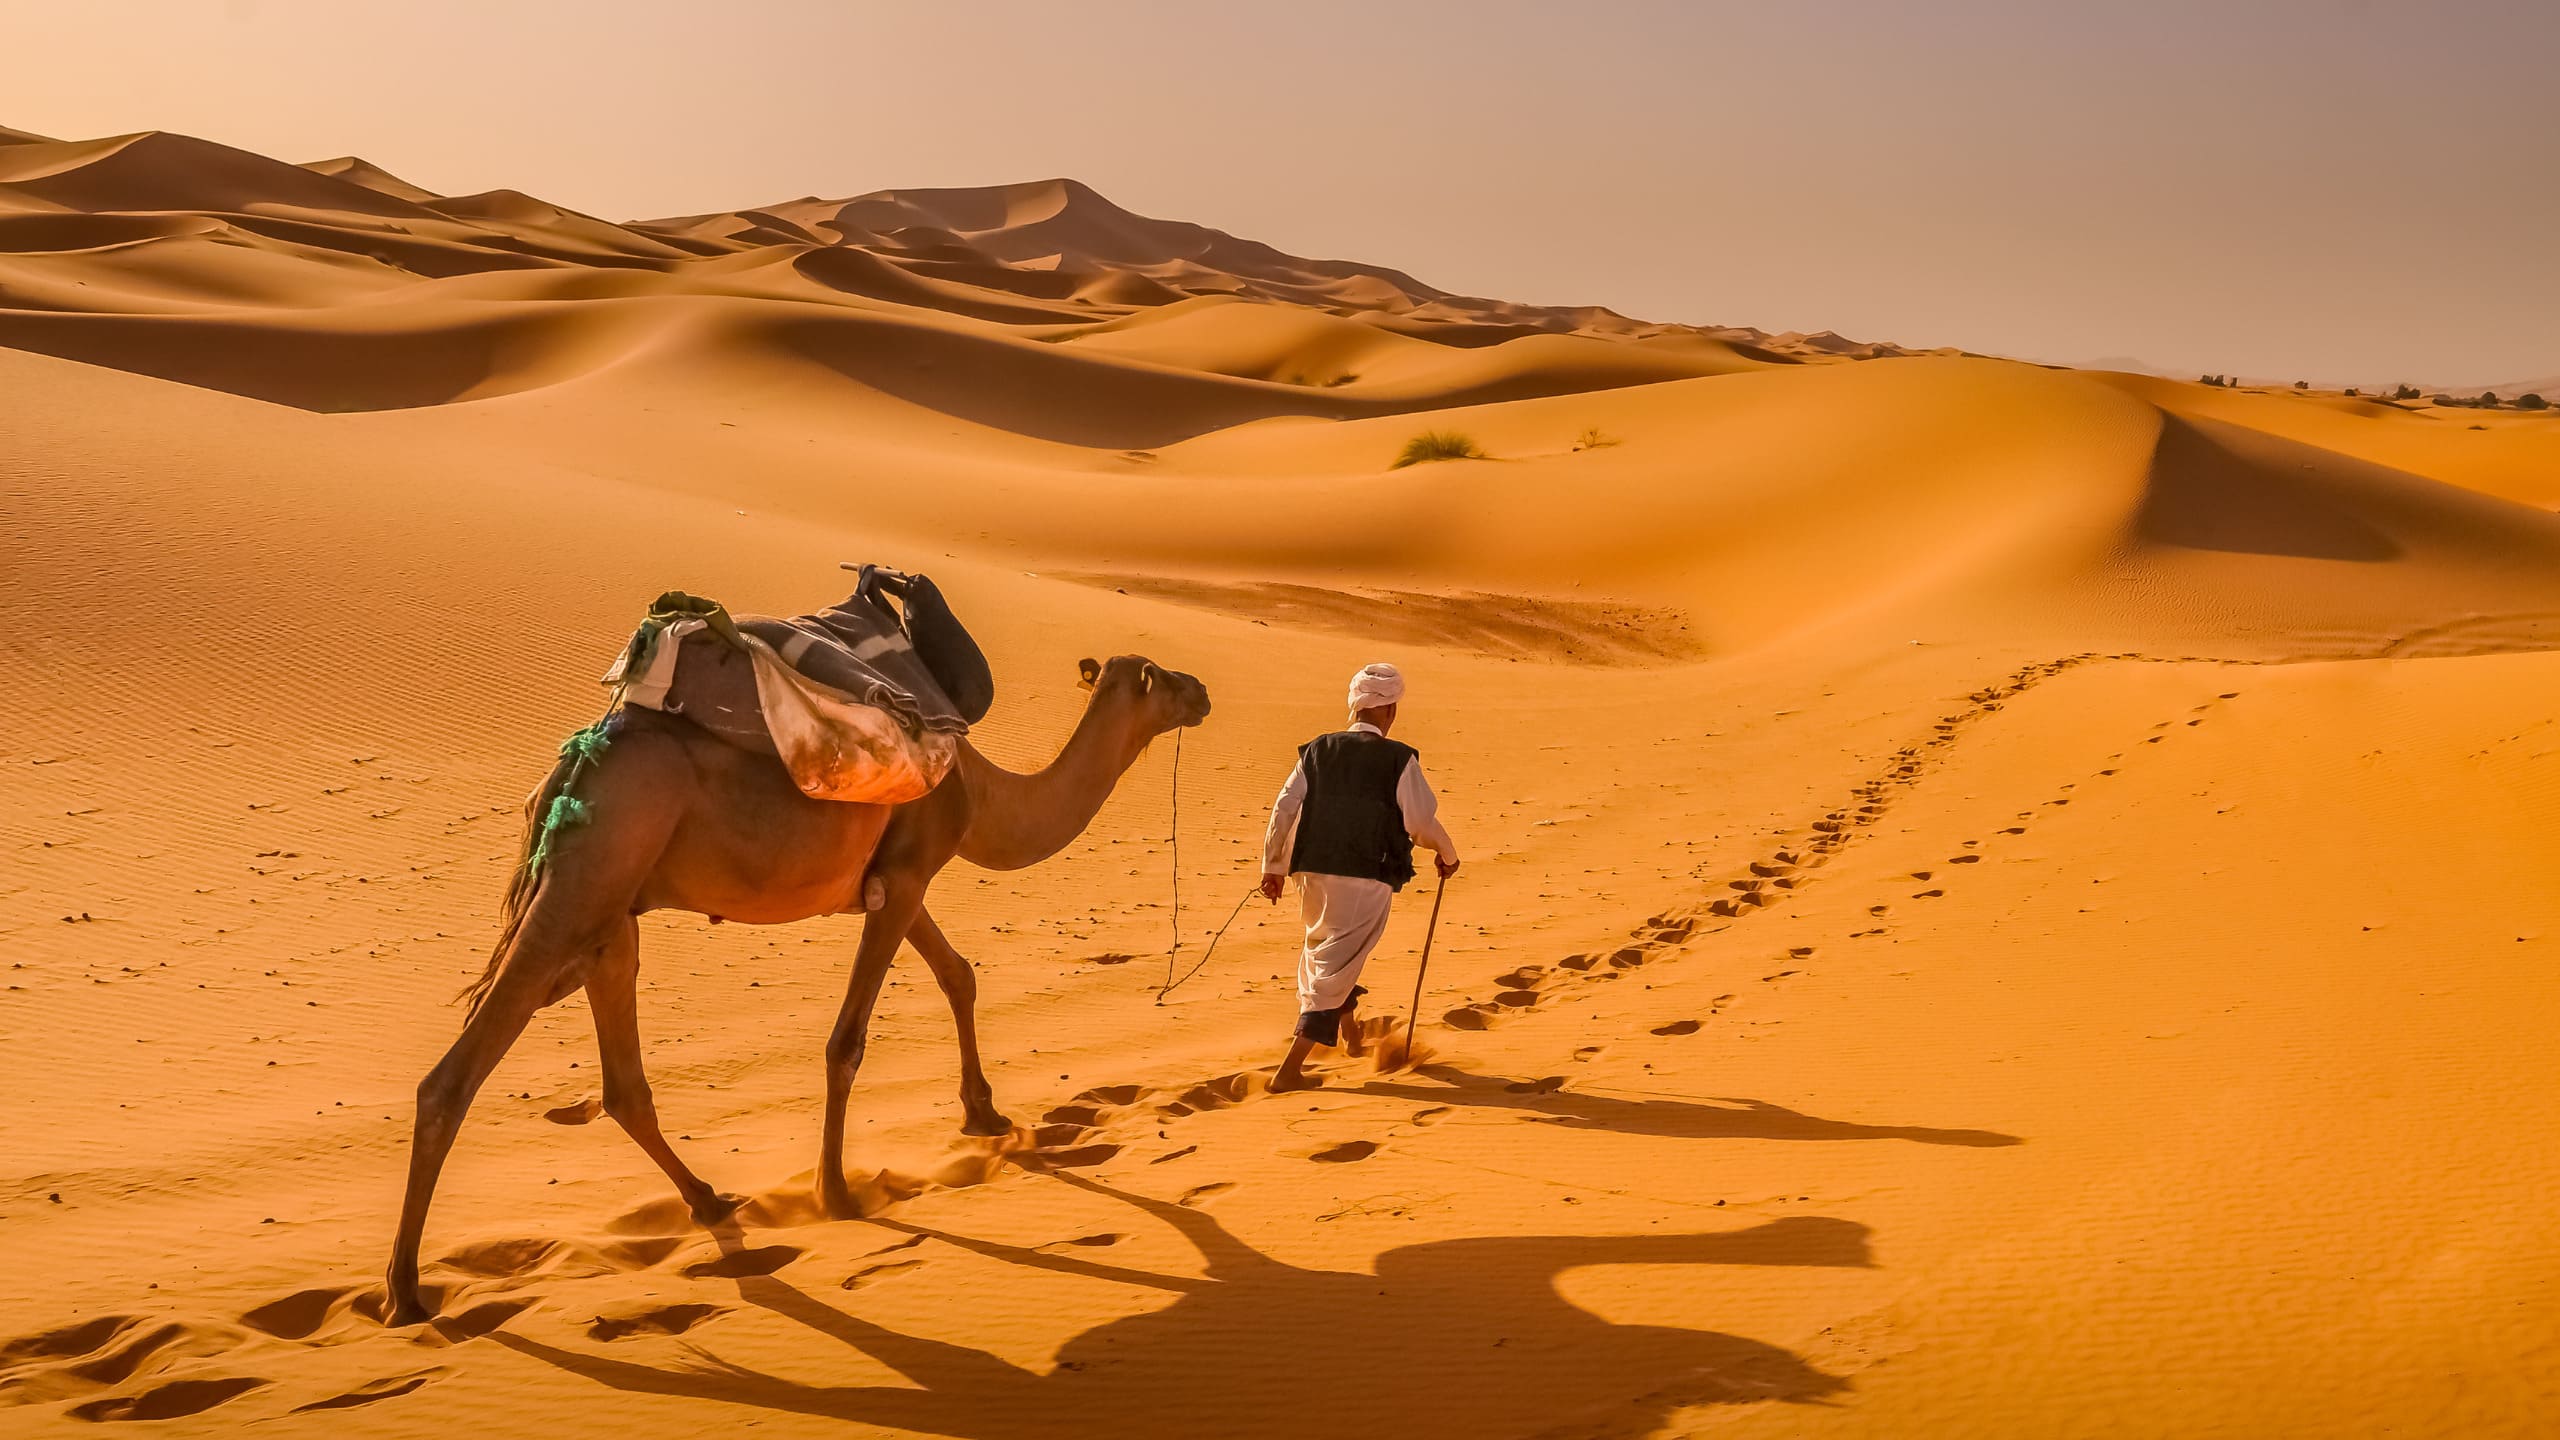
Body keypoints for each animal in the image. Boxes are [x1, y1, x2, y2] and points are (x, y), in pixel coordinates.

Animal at [384, 653, 1213, 1322]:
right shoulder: (907, 873)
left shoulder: (894, 882)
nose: (1203, 689)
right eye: (1161, 677)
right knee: (452, 1081)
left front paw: (982, 1112)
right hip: (579, 890)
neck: (982, 796)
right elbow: (848, 1041)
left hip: (610, 920)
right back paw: (405, 1292)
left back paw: (708, 1198)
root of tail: (572, 767)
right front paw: (836, 1193)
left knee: (623, 1086)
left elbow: (959, 975)